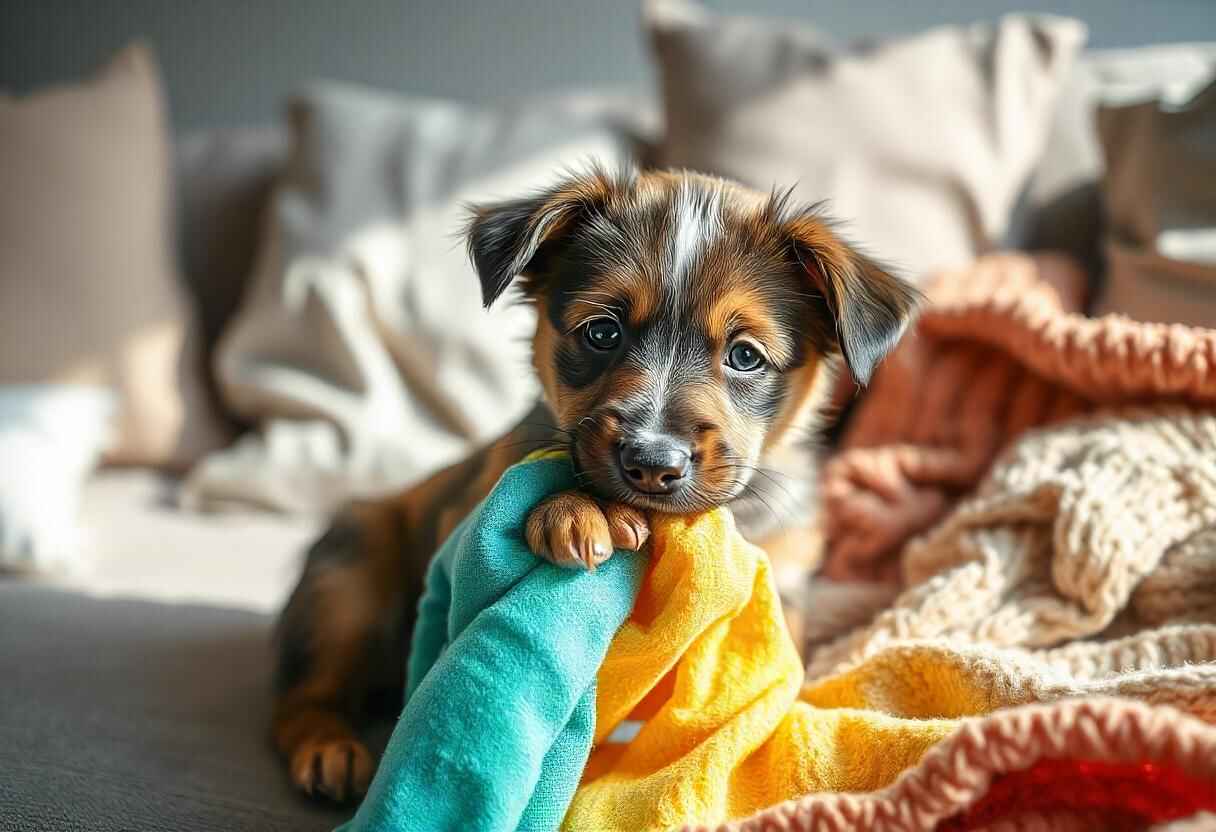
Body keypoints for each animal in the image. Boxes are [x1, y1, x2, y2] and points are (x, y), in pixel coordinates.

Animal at [273, 167, 919, 797]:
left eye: (745, 356)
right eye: (602, 332)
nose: (652, 462)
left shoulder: (784, 585)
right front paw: (576, 510)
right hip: (346, 577)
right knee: (304, 692)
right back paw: (327, 747)